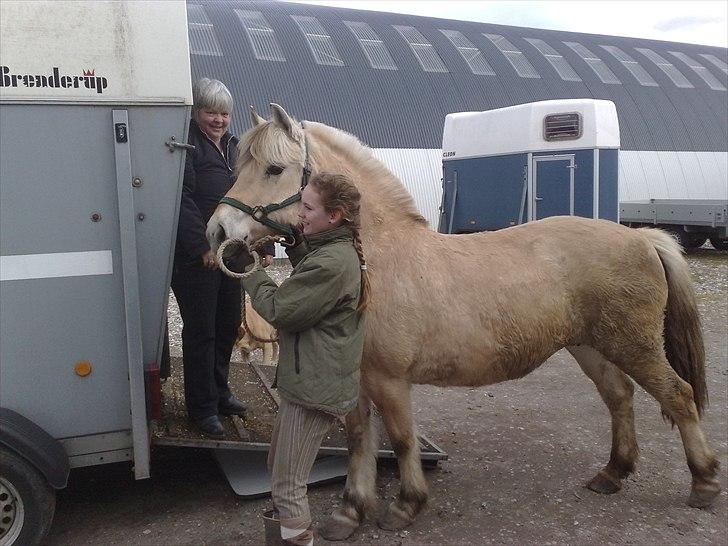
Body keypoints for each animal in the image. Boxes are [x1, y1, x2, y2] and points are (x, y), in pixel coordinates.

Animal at [205, 104, 716, 536]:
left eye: (273, 169)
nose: (219, 232)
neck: (374, 260)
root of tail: (643, 238)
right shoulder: (354, 377)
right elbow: (358, 439)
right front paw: (351, 511)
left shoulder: (391, 379)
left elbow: (402, 439)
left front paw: (405, 505)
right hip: (590, 346)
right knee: (619, 398)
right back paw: (613, 473)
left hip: (634, 345)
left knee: (679, 396)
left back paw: (704, 482)